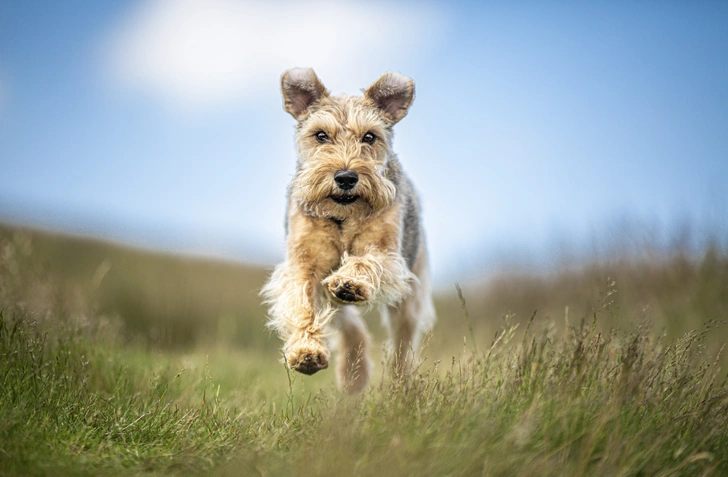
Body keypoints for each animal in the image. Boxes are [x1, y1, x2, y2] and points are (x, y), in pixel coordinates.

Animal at [260, 67, 432, 392]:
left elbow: (366, 261)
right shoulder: (304, 264)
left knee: (403, 344)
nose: (346, 177)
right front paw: (306, 352)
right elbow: (303, 304)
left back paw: (399, 385)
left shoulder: (387, 253)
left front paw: (351, 282)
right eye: (320, 135)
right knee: (353, 330)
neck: (342, 217)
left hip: (409, 296)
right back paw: (354, 376)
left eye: (370, 136)